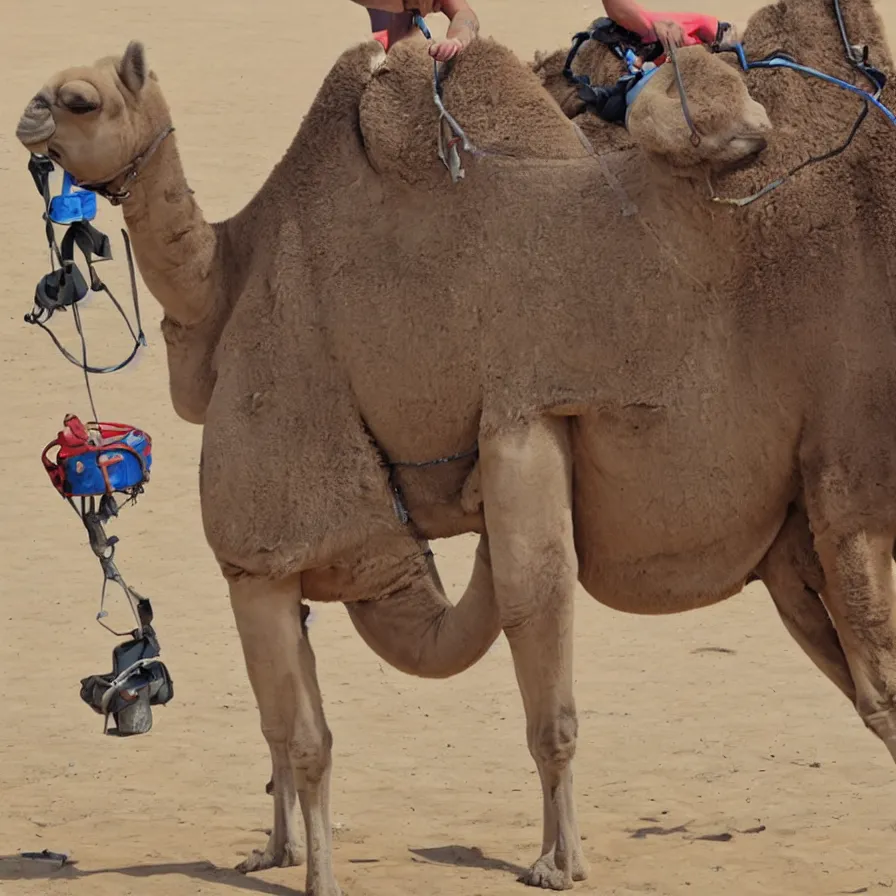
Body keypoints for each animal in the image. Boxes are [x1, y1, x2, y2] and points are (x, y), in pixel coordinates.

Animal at [12, 0, 896, 888]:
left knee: (875, 681)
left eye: (81, 98)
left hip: (841, 476)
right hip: (793, 531)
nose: (28, 114)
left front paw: (531, 866)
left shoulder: (272, 538)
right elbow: (284, 727)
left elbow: (322, 730)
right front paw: (275, 851)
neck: (225, 281)